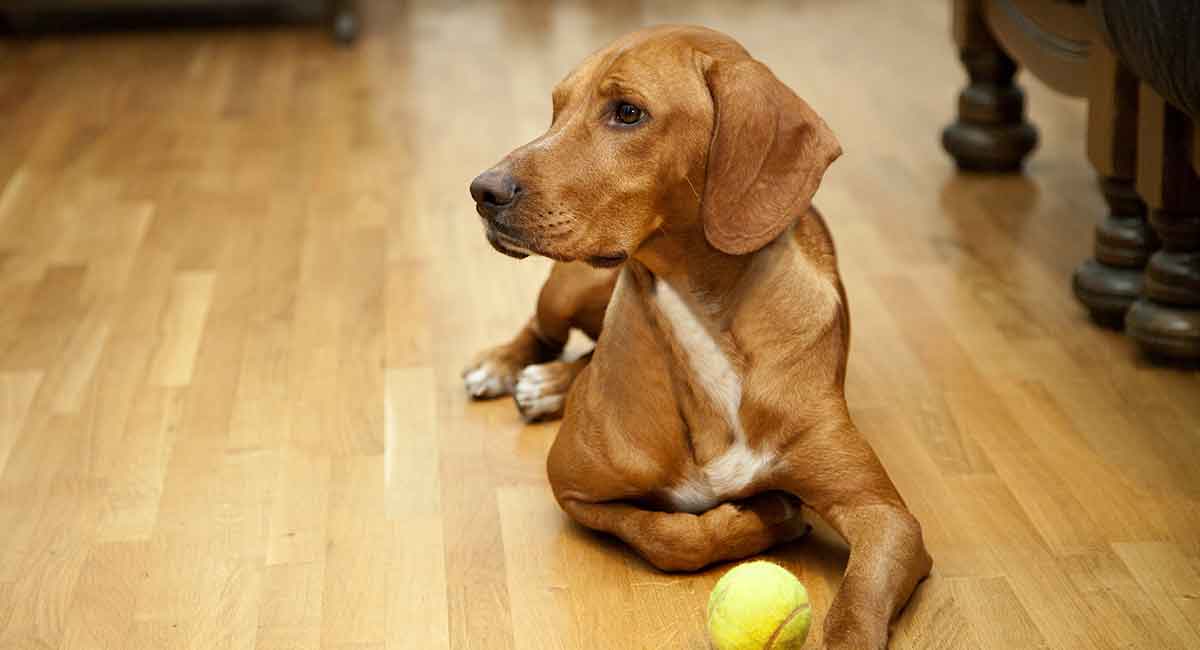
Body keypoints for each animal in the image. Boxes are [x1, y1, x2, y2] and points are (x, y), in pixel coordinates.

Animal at [458, 25, 926, 650]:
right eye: (556, 108)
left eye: (627, 112)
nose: (481, 190)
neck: (701, 315)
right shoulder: (571, 486)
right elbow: (670, 536)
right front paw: (764, 519)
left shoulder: (886, 516)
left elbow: (857, 607)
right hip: (568, 288)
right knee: (545, 333)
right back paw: (510, 367)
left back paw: (553, 384)